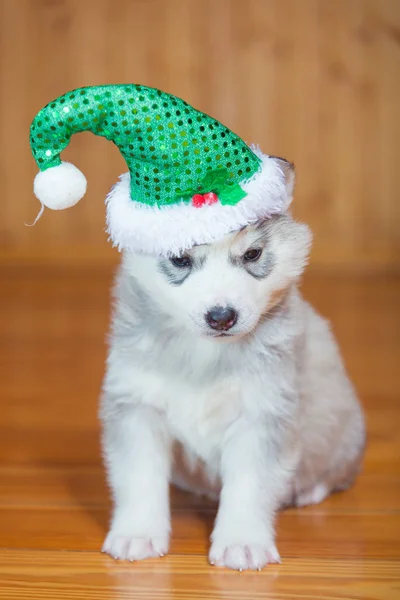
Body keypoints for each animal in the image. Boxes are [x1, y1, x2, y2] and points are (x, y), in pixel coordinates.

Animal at [101, 164, 366, 572]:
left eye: (253, 253)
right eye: (179, 259)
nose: (222, 316)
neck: (205, 355)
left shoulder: (262, 415)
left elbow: (249, 485)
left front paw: (242, 542)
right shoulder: (136, 406)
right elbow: (139, 475)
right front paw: (137, 534)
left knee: (335, 473)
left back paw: (309, 489)